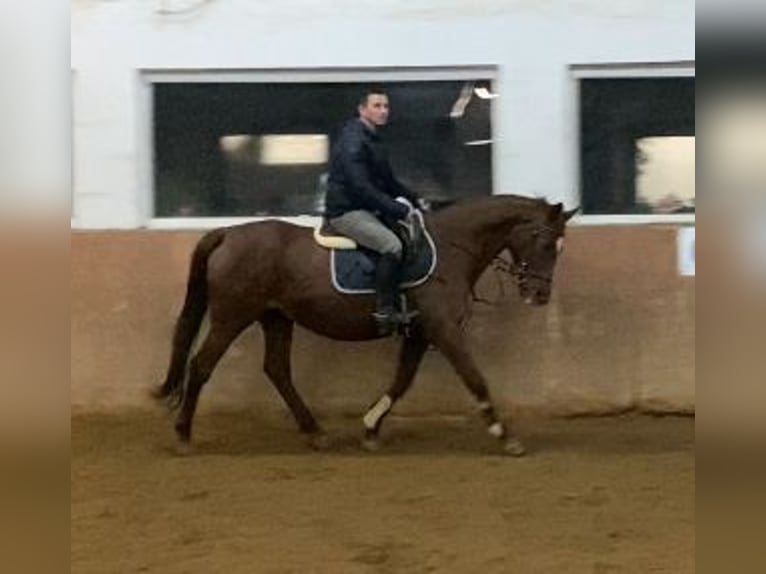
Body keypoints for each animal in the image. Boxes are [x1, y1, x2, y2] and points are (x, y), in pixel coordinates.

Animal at [154, 196, 576, 456]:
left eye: (559, 246)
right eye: (543, 241)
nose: (539, 294)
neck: (451, 248)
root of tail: (228, 232)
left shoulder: (420, 332)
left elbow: (402, 381)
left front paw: (371, 428)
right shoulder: (444, 330)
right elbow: (476, 380)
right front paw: (506, 437)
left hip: (276, 318)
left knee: (276, 370)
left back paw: (315, 432)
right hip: (232, 316)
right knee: (201, 366)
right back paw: (183, 435)